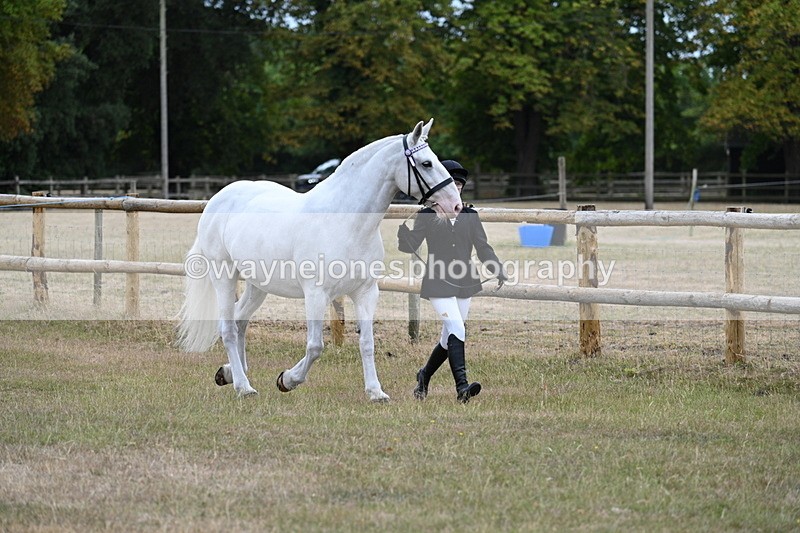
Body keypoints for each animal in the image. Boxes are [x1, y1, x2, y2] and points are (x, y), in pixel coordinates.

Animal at [177, 119, 463, 401]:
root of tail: (217, 199)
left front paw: (375, 391)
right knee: (227, 329)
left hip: (258, 285)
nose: (456, 205)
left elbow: (367, 343)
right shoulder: (316, 294)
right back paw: (243, 387)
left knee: (239, 321)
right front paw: (288, 379)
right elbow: (315, 346)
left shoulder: (366, 292)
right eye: (426, 163)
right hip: (224, 276)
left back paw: (229, 373)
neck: (347, 223)